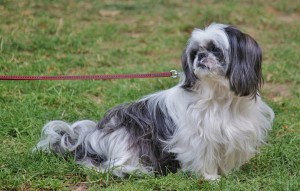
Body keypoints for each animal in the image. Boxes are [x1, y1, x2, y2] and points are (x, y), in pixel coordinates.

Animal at [34, 23, 274, 180]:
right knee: (102, 166)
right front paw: (210, 178)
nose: (201, 56)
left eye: (215, 49)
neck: (218, 96)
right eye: (195, 52)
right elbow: (204, 157)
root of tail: (87, 137)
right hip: (127, 137)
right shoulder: (197, 137)